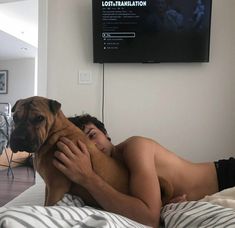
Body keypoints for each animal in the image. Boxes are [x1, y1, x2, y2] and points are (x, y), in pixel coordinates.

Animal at [9, 96, 173, 207]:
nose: (18, 138)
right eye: (15, 117)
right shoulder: (49, 186)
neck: (54, 132)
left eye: (39, 118)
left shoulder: (56, 187)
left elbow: (47, 206)